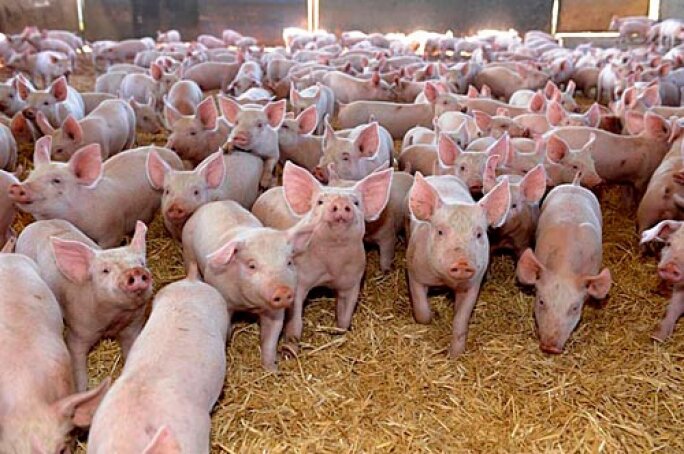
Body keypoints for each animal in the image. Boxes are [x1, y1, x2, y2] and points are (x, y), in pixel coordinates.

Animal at [16, 219, 152, 391]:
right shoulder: (78, 332)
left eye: (142, 263)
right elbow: (77, 366)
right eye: (105, 270)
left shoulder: (133, 326)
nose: (135, 271)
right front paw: (81, 391)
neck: (114, 318)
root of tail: (37, 223)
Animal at [182, 200, 314, 370]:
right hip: (188, 249)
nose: (283, 291)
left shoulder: (275, 312)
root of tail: (215, 202)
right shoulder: (224, 299)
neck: (248, 305)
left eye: (289, 262)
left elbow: (270, 339)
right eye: (252, 266)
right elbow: (227, 326)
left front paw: (272, 369)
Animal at [251, 162, 393, 352]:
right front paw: (290, 350)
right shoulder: (299, 279)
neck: (332, 263)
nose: (341, 202)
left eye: (356, 202)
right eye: (320, 202)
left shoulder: (353, 280)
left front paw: (341, 334)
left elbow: (345, 313)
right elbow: (295, 320)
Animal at [406, 173, 511, 357]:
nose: (462, 263)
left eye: (479, 234)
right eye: (440, 232)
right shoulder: (414, 272)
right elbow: (421, 308)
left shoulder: (473, 284)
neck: (444, 282)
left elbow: (461, 319)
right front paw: (431, 317)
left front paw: (455, 355)